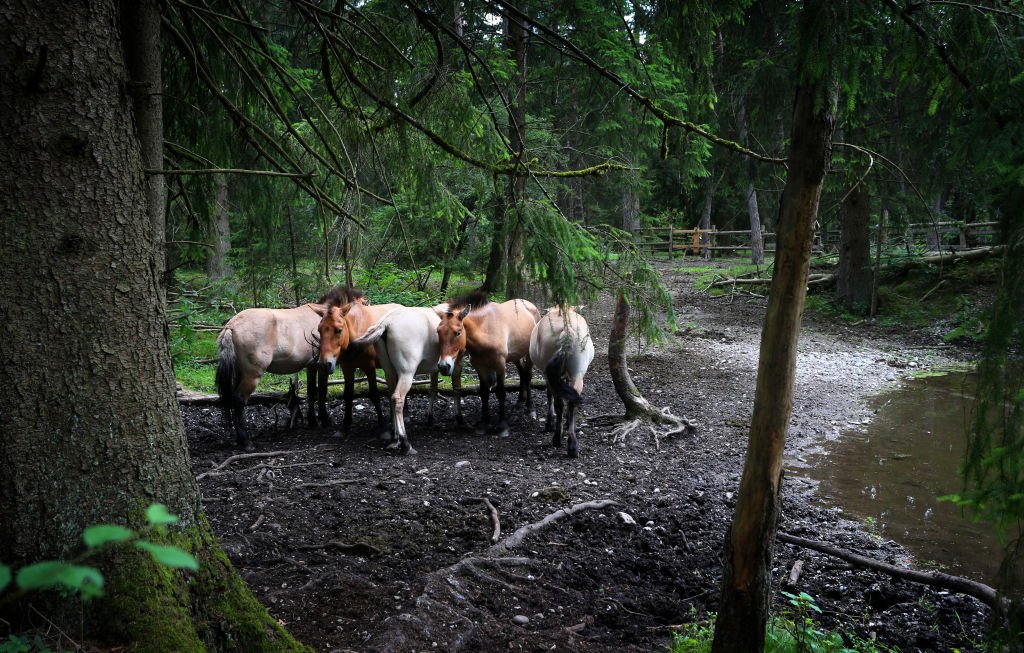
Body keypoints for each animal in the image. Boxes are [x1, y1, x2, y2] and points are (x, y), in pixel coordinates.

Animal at [214, 288, 362, 452]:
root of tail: (231, 326)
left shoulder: (311, 366)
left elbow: (312, 391)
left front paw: (312, 421)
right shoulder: (321, 366)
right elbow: (322, 391)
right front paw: (324, 420)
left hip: (239, 374)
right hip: (252, 376)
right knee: (239, 400)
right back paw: (246, 442)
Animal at [311, 290, 403, 433]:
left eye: (339, 330)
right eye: (319, 330)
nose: (325, 364)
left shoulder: (369, 367)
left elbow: (374, 394)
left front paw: (381, 423)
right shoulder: (347, 368)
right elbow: (348, 395)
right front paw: (346, 423)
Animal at [348, 307, 440, 454]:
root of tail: (386, 322)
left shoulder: (435, 369)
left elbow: (433, 388)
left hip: (390, 372)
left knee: (391, 397)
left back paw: (395, 439)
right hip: (406, 373)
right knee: (398, 398)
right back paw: (405, 443)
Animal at [434, 292, 540, 440]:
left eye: (458, 332)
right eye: (438, 331)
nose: (444, 366)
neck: (486, 330)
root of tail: (530, 304)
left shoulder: (500, 365)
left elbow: (500, 393)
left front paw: (502, 426)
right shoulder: (480, 366)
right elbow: (484, 392)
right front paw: (483, 423)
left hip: (529, 354)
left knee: (528, 376)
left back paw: (530, 408)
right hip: (516, 355)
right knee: (522, 373)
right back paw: (519, 402)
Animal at [532, 309, 598, 458]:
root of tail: (567, 333)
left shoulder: (547, 375)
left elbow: (549, 395)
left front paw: (549, 422)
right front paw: (567, 422)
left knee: (559, 404)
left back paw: (557, 438)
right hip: (577, 375)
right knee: (572, 401)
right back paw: (572, 445)